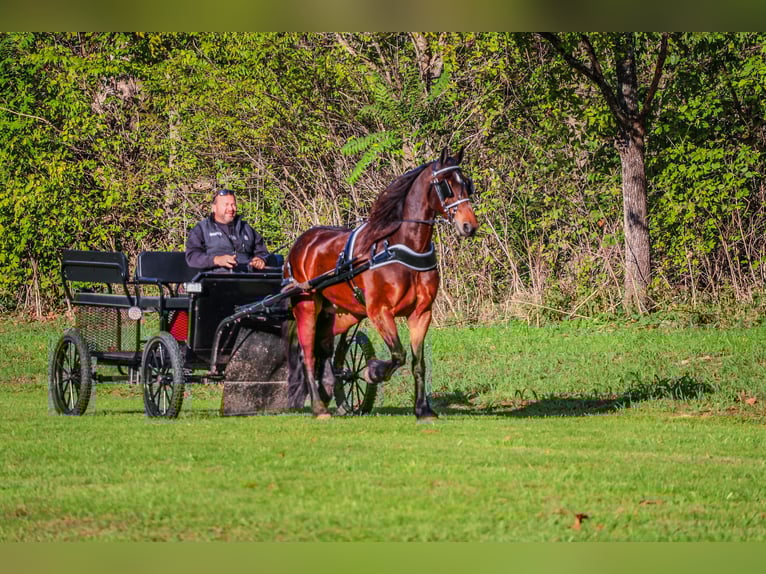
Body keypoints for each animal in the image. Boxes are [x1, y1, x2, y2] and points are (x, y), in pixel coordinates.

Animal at [285, 147, 479, 420]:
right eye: (446, 186)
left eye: (467, 184)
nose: (469, 226)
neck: (400, 249)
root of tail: (303, 242)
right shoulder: (379, 312)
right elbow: (398, 354)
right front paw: (373, 371)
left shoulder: (421, 313)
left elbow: (417, 363)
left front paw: (423, 409)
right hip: (307, 306)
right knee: (308, 355)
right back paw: (319, 407)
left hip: (341, 314)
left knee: (324, 351)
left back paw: (330, 392)